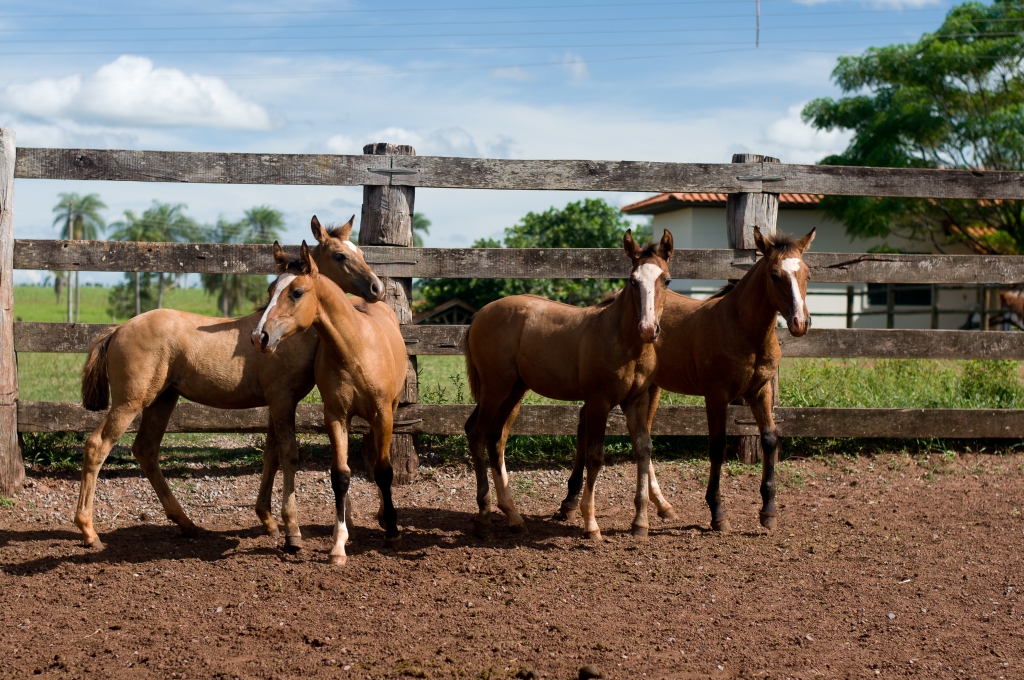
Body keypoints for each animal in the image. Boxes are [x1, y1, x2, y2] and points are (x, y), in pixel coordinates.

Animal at [76, 215, 385, 548]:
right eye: (340, 256)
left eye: (361, 252)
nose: (376, 287)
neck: (286, 336)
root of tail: (118, 329)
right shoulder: (282, 400)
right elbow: (289, 455)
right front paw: (292, 530)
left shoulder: (276, 403)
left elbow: (270, 455)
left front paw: (268, 520)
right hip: (130, 402)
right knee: (97, 445)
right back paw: (89, 531)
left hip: (162, 400)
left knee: (146, 450)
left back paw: (187, 523)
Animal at [251, 241, 403, 565]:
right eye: (270, 290)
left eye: (296, 292)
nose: (260, 336)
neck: (355, 349)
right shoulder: (336, 416)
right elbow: (341, 476)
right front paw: (338, 544)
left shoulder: (382, 415)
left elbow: (384, 471)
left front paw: (393, 531)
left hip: (391, 411)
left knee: (382, 466)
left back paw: (385, 516)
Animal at [462, 231, 671, 540]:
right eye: (633, 281)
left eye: (666, 280)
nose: (647, 329)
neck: (622, 340)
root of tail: (479, 315)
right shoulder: (598, 402)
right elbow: (595, 456)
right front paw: (591, 525)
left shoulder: (636, 401)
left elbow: (643, 449)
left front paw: (640, 523)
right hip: (495, 387)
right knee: (477, 432)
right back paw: (484, 516)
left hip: (514, 390)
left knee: (495, 437)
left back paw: (514, 516)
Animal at [557, 225, 811, 532]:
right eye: (775, 275)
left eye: (808, 274)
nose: (800, 323)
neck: (742, 329)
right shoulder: (716, 395)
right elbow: (717, 446)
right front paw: (717, 513)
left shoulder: (760, 391)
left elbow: (770, 440)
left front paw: (769, 511)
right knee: (587, 420)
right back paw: (570, 502)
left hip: (649, 388)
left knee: (637, 433)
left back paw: (661, 505)